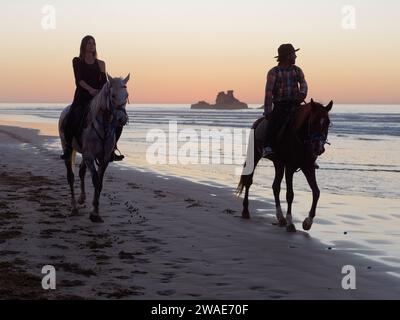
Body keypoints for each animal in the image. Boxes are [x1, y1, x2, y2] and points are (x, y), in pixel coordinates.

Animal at [58, 73, 130, 222]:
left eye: (126, 95)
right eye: (113, 95)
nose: (122, 119)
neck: (102, 125)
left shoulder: (104, 158)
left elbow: (100, 183)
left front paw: (95, 210)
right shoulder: (90, 157)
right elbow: (96, 181)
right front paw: (94, 214)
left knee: (81, 172)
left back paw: (81, 198)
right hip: (68, 148)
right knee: (70, 176)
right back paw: (74, 207)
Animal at [236, 100, 332, 232]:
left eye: (327, 122)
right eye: (313, 122)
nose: (318, 148)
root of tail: (258, 122)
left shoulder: (308, 167)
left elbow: (316, 192)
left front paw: (308, 222)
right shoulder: (290, 167)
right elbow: (290, 194)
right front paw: (291, 223)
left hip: (278, 164)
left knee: (275, 186)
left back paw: (280, 217)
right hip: (255, 156)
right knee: (248, 181)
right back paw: (246, 211)